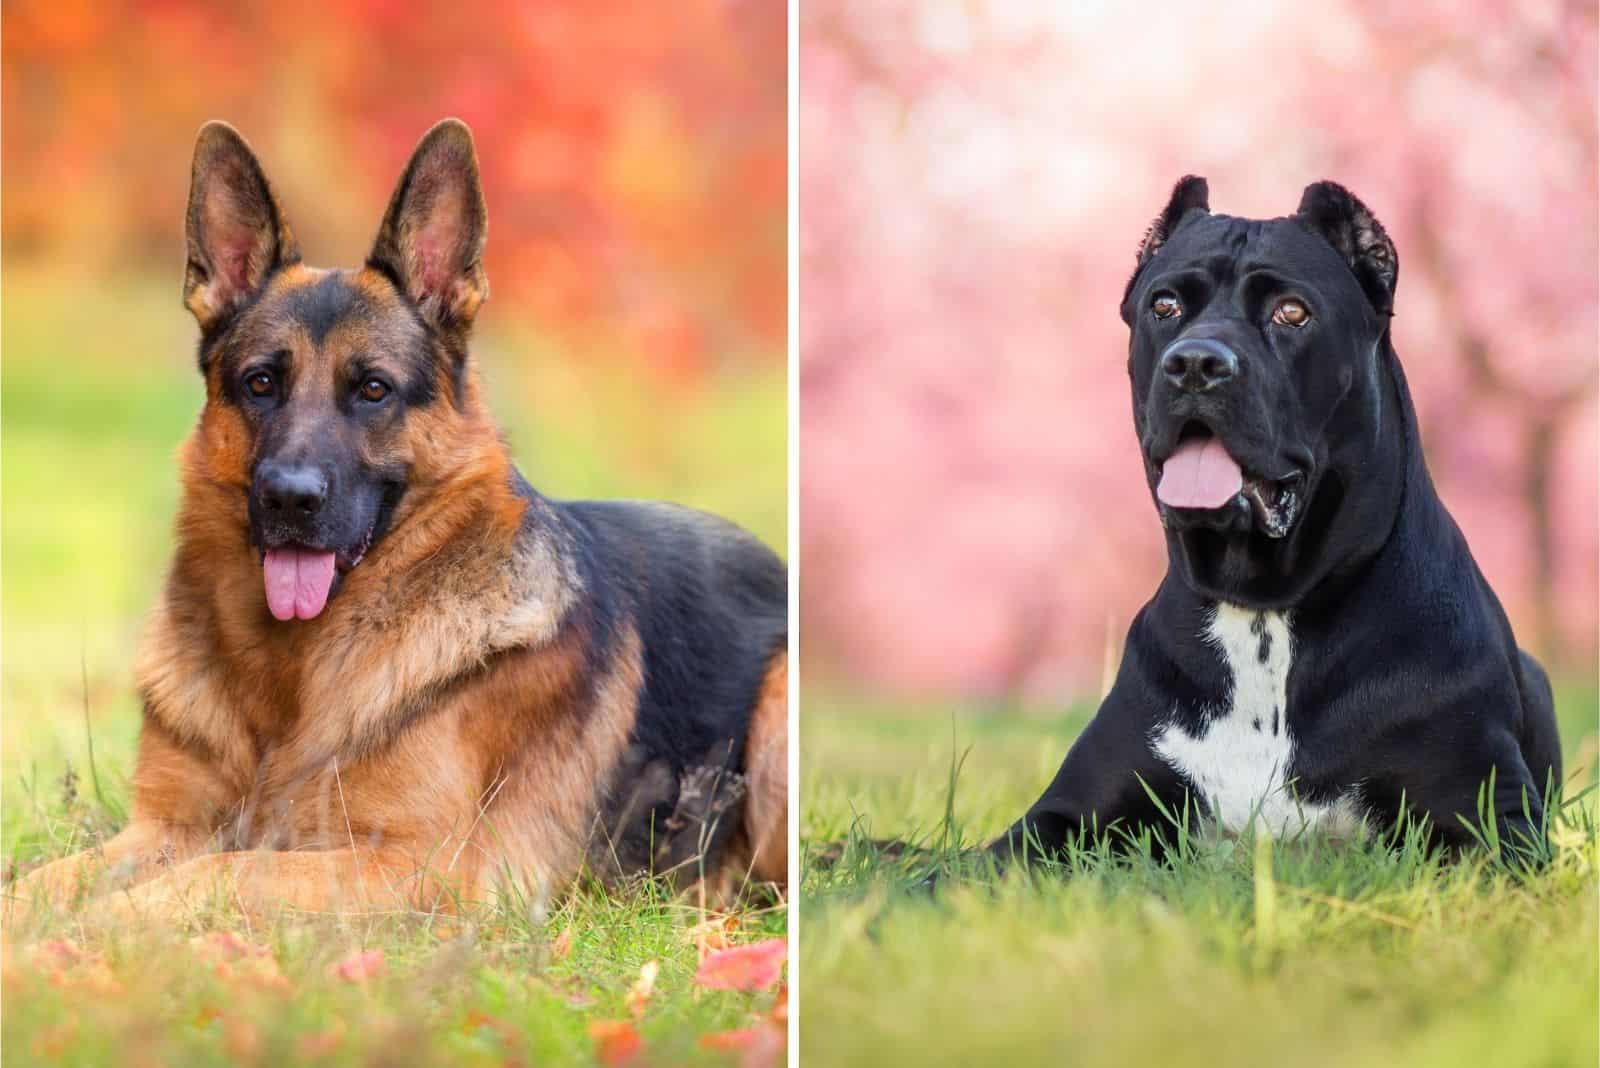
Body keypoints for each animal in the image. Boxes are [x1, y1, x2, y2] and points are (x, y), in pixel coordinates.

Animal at [985, 179, 1561, 869]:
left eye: (1292, 313)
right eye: (1164, 304)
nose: (1195, 363)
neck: (1264, 610)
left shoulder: (1492, 822)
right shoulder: (1062, 815)